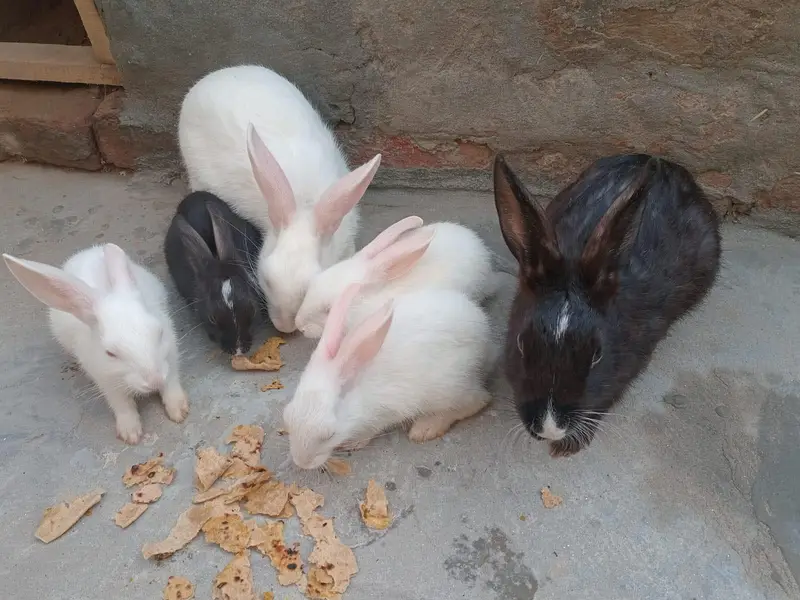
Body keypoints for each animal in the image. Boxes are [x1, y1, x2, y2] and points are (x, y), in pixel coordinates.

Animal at [3, 244, 190, 444]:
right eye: (110, 353)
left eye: (160, 332)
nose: (154, 380)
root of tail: (88, 251)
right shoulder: (105, 380)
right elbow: (121, 404)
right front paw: (130, 434)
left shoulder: (170, 357)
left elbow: (171, 384)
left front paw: (178, 411)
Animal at [283, 283, 493, 470]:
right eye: (287, 417)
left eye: (329, 435)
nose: (301, 463)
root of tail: (485, 336)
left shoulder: (384, 412)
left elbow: (371, 429)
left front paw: (353, 443)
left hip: (448, 389)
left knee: (477, 401)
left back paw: (424, 428)